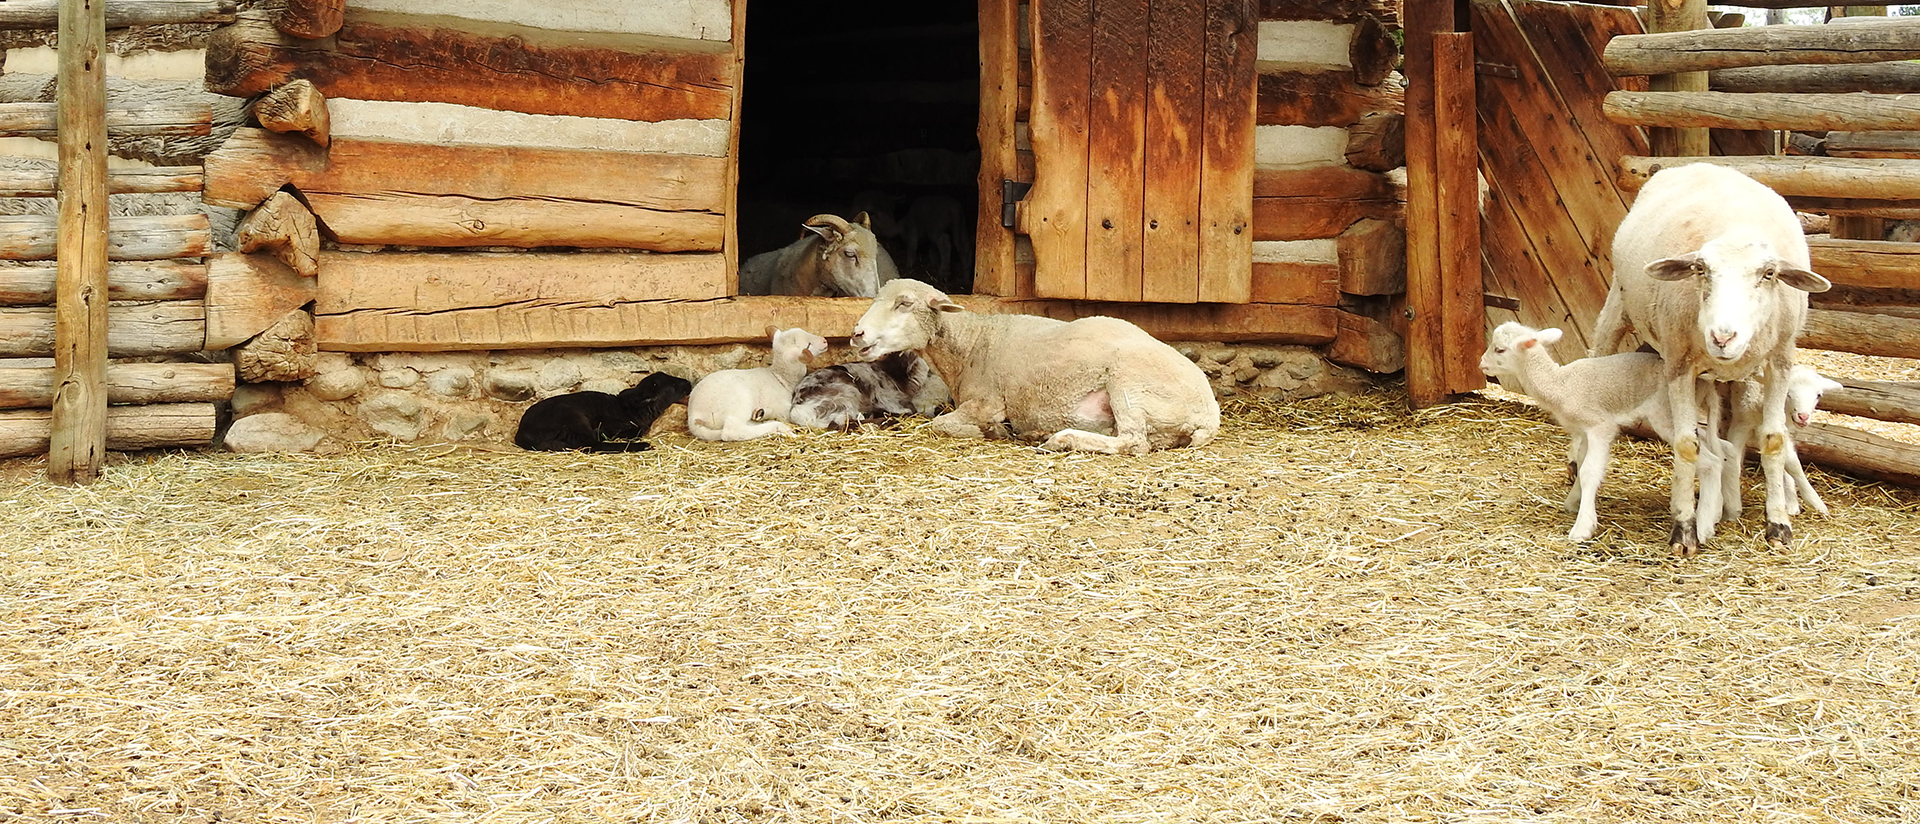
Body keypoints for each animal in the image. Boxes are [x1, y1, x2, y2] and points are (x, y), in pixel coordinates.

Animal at [514, 372, 693, 453]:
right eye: (674, 386)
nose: (689, 383)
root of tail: (522, 434)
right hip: (573, 416)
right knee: (591, 445)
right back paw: (642, 445)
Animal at [686, 327, 828, 441]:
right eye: (808, 345)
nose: (825, 341)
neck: (780, 378)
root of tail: (693, 416)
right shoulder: (782, 407)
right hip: (737, 402)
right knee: (731, 432)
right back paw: (779, 427)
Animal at [849, 279, 1218, 454]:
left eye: (905, 303)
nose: (857, 333)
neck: (973, 342)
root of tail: (1210, 415)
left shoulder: (988, 402)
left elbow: (941, 424)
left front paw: (988, 432)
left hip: (1130, 384)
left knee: (1134, 442)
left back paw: (1061, 439)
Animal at [1480, 322, 1727, 542]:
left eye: (1499, 349)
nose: (1481, 363)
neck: (1560, 383)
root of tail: (1704, 385)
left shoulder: (1600, 426)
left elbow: (1589, 471)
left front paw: (1582, 527)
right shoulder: (1583, 431)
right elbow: (1580, 463)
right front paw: (1573, 501)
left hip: (1666, 415)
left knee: (1710, 461)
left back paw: (1704, 526)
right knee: (1719, 451)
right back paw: (1715, 511)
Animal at [1587, 163, 1832, 555]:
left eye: (1769, 274)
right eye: (1700, 270)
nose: (1723, 337)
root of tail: (1696, 164)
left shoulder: (1779, 361)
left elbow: (1773, 441)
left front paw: (1778, 526)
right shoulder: (1678, 364)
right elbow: (1686, 446)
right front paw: (1684, 530)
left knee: (1726, 436)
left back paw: (1722, 505)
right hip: (1618, 306)